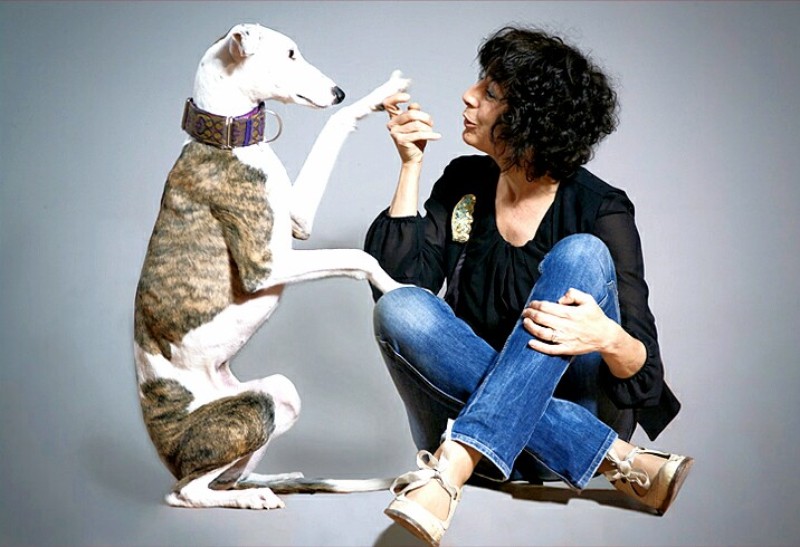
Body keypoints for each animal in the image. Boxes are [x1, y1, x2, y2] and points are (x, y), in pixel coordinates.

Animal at [133, 23, 409, 509]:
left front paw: (379, 95)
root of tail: (167, 457)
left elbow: (335, 124)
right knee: (188, 493)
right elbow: (358, 256)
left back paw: (271, 480)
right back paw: (250, 498)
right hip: (249, 411)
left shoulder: (297, 221)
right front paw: (396, 289)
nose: (337, 91)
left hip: (279, 393)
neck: (226, 140)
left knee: (225, 478)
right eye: (290, 54)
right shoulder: (265, 265)